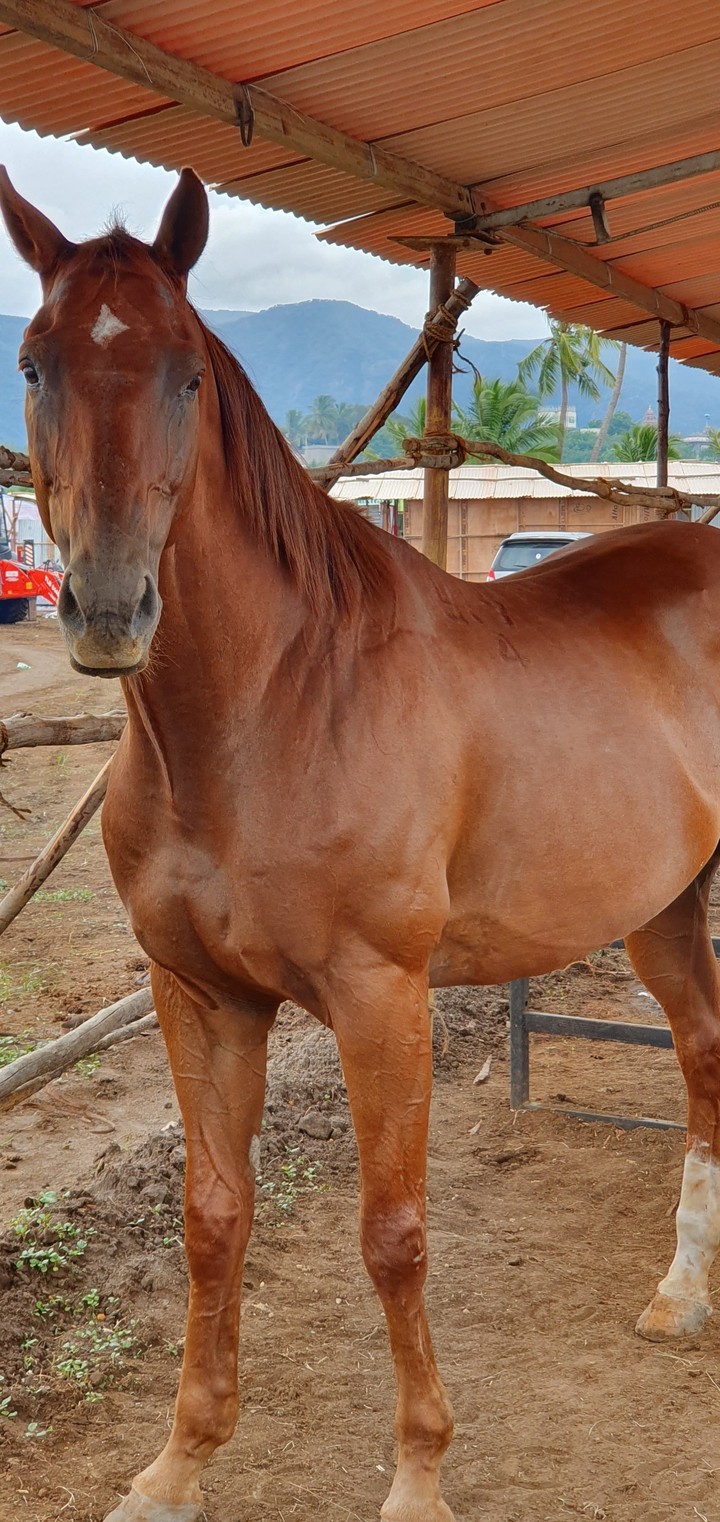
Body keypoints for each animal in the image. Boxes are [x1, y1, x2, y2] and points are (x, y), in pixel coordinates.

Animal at [2, 165, 720, 1522]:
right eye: (33, 363)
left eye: (186, 373)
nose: (111, 609)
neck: (266, 715)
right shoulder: (200, 996)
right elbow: (211, 1217)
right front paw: (178, 1461)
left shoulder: (383, 998)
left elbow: (393, 1234)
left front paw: (419, 1473)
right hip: (664, 903)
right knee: (704, 1055)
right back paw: (683, 1292)